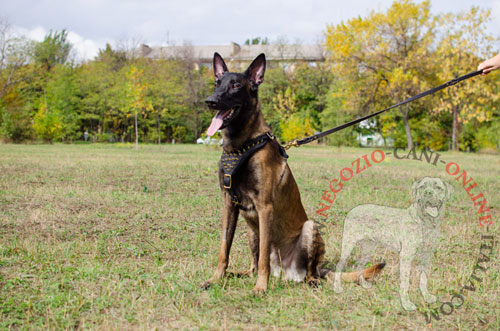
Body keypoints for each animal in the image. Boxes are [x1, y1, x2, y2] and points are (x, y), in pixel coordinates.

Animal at [201, 53, 384, 294]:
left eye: (236, 85)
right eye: (217, 83)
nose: (210, 101)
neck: (241, 145)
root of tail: (284, 272)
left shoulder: (264, 207)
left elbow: (263, 259)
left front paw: (260, 288)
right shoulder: (229, 204)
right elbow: (224, 248)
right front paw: (215, 278)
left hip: (310, 228)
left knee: (309, 271)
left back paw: (311, 280)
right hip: (251, 232)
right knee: (253, 265)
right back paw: (239, 274)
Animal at [334, 178, 456, 310]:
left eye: (438, 187)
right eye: (422, 187)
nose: (428, 193)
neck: (425, 223)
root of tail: (352, 210)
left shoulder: (426, 256)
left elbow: (424, 279)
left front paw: (427, 297)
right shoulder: (406, 256)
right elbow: (405, 282)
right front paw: (406, 304)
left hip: (368, 248)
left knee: (358, 265)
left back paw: (363, 284)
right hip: (348, 244)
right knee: (339, 265)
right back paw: (337, 288)